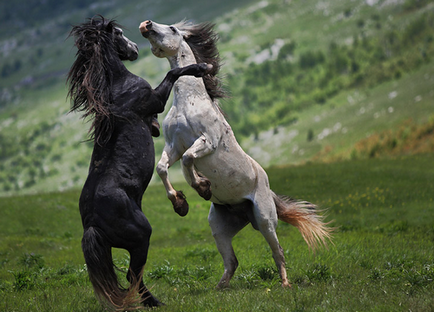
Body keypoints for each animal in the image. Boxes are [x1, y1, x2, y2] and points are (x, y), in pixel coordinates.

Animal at [65, 15, 210, 308]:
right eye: (120, 33)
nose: (133, 49)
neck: (118, 88)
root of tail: (92, 224)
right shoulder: (153, 98)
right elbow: (172, 74)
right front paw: (201, 67)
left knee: (133, 275)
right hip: (141, 237)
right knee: (133, 275)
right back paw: (153, 302)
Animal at [139, 18, 332, 288]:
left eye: (173, 29)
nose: (146, 25)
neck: (189, 101)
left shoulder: (206, 141)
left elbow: (188, 160)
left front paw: (202, 187)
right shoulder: (173, 145)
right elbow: (162, 167)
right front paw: (180, 203)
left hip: (265, 220)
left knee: (278, 251)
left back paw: (285, 284)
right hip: (219, 227)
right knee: (232, 261)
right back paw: (220, 287)